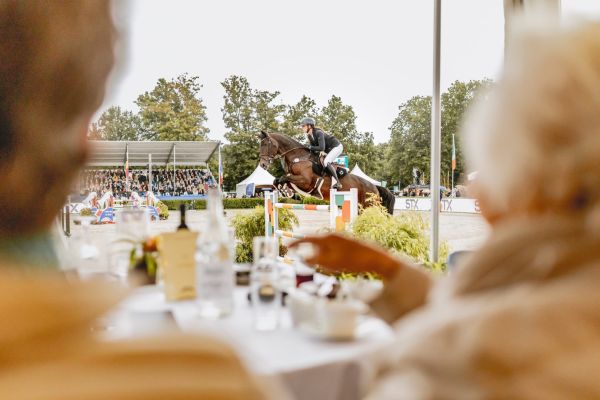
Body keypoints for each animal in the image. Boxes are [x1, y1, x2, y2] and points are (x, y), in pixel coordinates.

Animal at [256, 130, 394, 214]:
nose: (262, 165)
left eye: (266, 144)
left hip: (370, 206)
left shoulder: (305, 181)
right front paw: (285, 191)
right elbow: (278, 180)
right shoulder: (295, 180)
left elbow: (284, 177)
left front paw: (285, 191)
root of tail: (375, 187)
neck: (298, 157)